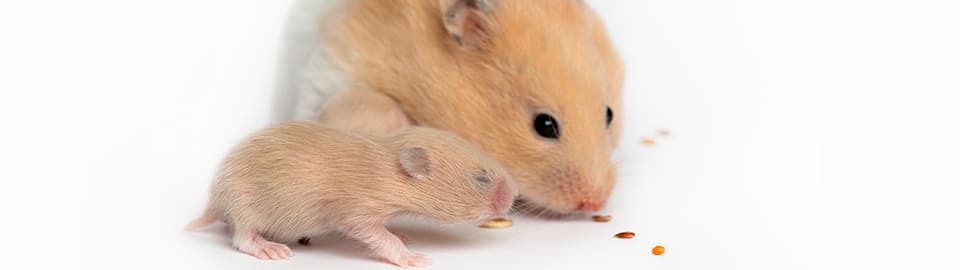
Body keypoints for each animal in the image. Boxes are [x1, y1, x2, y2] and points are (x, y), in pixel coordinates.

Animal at [187, 122, 516, 268]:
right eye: (481, 178)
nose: (512, 197)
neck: (390, 158)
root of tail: (215, 200)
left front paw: (402, 234)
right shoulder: (357, 209)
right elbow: (374, 234)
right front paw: (408, 255)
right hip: (244, 205)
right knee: (242, 236)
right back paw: (267, 247)